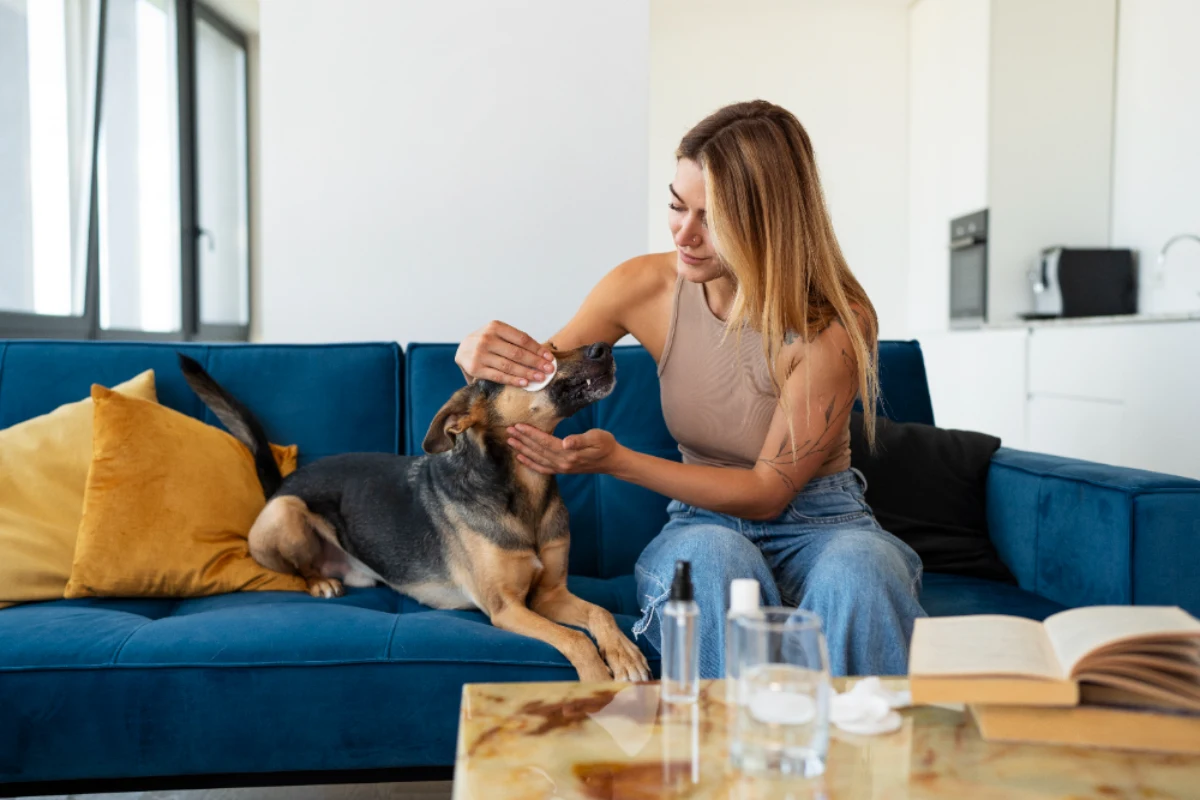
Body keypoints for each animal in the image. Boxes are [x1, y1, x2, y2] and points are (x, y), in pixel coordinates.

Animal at [176, 345, 648, 681]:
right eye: (540, 357)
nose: (604, 346)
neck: (521, 488)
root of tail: (283, 484)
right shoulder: (507, 608)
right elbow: (575, 640)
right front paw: (597, 679)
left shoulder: (548, 595)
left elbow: (601, 614)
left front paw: (624, 654)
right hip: (287, 511)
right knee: (299, 566)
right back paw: (320, 583)